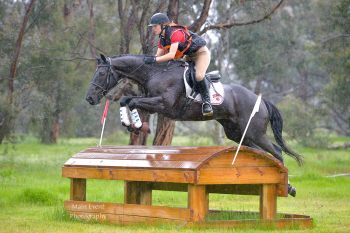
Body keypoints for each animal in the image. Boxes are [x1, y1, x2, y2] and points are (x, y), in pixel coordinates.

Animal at [86, 53, 302, 196]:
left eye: (101, 74)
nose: (89, 98)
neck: (155, 73)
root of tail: (261, 100)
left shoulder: (162, 104)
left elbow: (130, 101)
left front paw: (136, 125)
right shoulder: (152, 105)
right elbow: (128, 101)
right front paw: (130, 123)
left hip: (254, 132)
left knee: (276, 152)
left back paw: (287, 186)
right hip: (238, 134)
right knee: (263, 152)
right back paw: (286, 185)